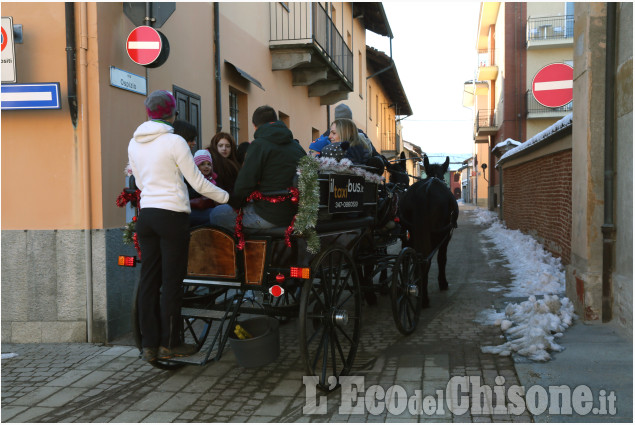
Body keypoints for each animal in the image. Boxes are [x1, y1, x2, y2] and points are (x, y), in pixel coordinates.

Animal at [400, 154, 460, 306]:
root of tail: (424, 192)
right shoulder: (446, 237)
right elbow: (442, 259)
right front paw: (443, 282)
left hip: (407, 233)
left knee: (409, 258)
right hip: (437, 234)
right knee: (426, 261)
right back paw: (424, 298)